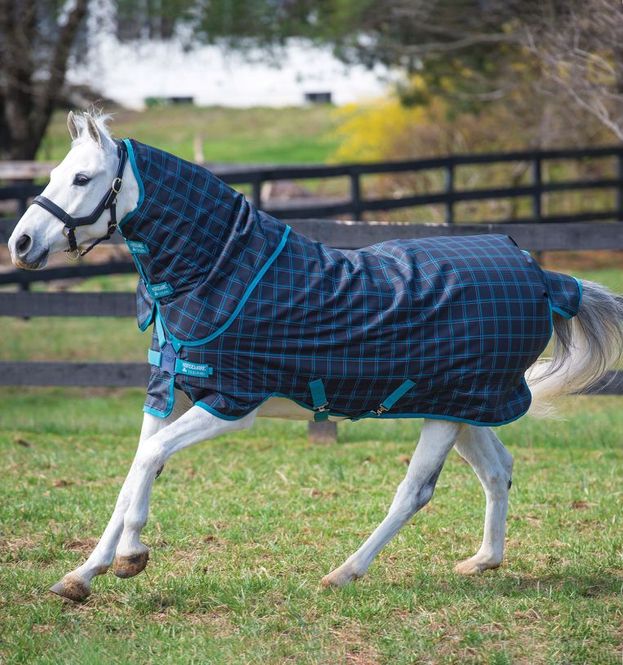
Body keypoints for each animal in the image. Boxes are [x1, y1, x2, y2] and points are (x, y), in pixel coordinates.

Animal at [8, 111, 623, 603]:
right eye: (55, 173)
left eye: (82, 178)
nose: (20, 244)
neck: (221, 271)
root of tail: (542, 276)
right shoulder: (171, 391)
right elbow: (138, 467)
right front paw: (82, 576)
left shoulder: (233, 402)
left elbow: (150, 459)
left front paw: (132, 557)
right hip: (462, 407)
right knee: (499, 470)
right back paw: (481, 562)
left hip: (450, 411)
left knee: (416, 492)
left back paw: (344, 573)